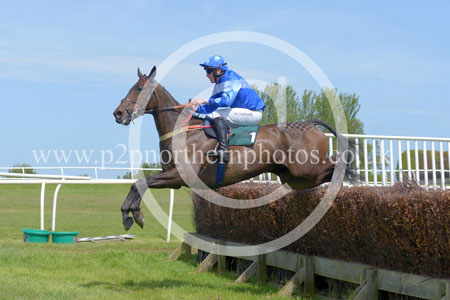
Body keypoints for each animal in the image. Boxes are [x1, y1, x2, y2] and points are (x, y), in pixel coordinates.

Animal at [111, 66, 356, 230]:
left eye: (139, 88)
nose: (118, 113)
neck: (183, 131)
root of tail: (310, 124)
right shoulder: (171, 176)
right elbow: (138, 184)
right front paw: (129, 215)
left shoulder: (180, 176)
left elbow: (140, 183)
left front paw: (134, 215)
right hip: (295, 177)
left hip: (305, 169)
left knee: (336, 164)